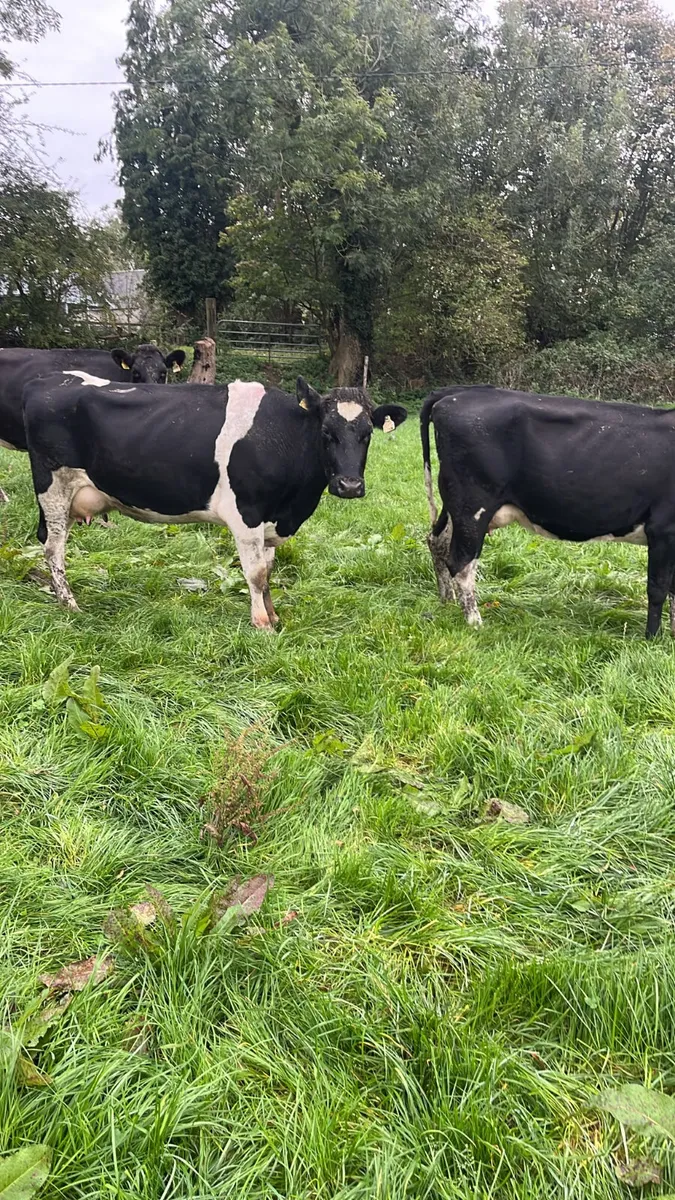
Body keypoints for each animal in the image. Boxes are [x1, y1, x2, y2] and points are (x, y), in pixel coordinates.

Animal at [22, 372, 407, 629]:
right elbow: (255, 573)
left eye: (367, 435)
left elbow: (268, 571)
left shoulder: (271, 520)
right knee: (53, 548)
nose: (349, 485)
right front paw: (261, 623)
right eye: (327, 432)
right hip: (54, 489)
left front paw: (273, 615)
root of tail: (48, 381)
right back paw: (69, 604)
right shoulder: (246, 515)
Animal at [421, 384, 675, 638]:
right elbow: (658, 587)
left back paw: (447, 601)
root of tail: (459, 393)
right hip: (472, 506)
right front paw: (652, 637)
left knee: (438, 542)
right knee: (461, 562)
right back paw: (475, 622)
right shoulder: (662, 529)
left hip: (457, 507)